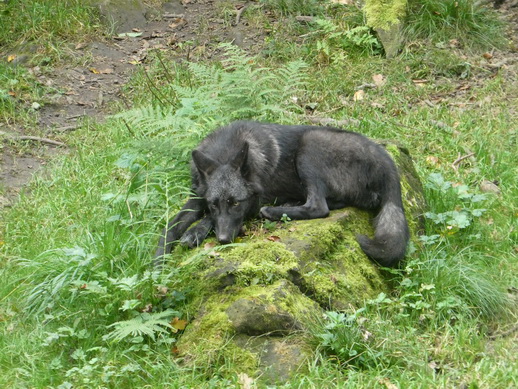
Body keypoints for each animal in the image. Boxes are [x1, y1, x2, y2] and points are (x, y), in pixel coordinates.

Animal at [154, 121, 410, 266]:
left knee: (320, 207)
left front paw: (196, 231)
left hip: (309, 147)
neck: (224, 151)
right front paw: (158, 266)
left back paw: (275, 211)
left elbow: (205, 220)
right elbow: (170, 227)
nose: (224, 240)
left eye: (236, 203)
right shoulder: (197, 197)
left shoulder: (255, 201)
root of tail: (385, 159)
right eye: (215, 204)